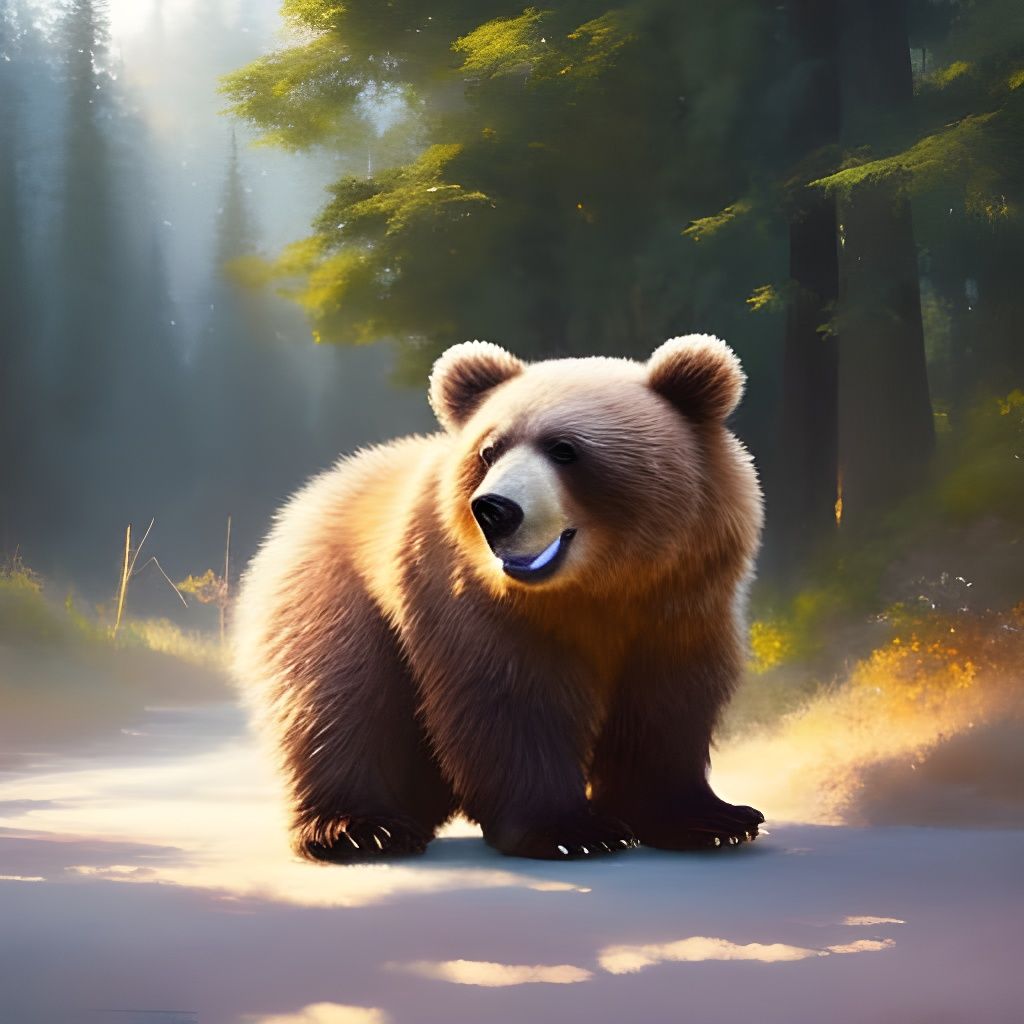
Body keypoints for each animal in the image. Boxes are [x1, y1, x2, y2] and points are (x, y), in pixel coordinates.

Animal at [232, 335, 765, 861]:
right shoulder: (475, 603)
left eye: (565, 450)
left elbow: (667, 703)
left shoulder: (682, 600)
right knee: (340, 701)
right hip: (333, 594)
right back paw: (361, 828)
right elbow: (511, 701)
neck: (599, 586)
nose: (493, 510)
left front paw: (711, 820)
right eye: (489, 450)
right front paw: (571, 829)